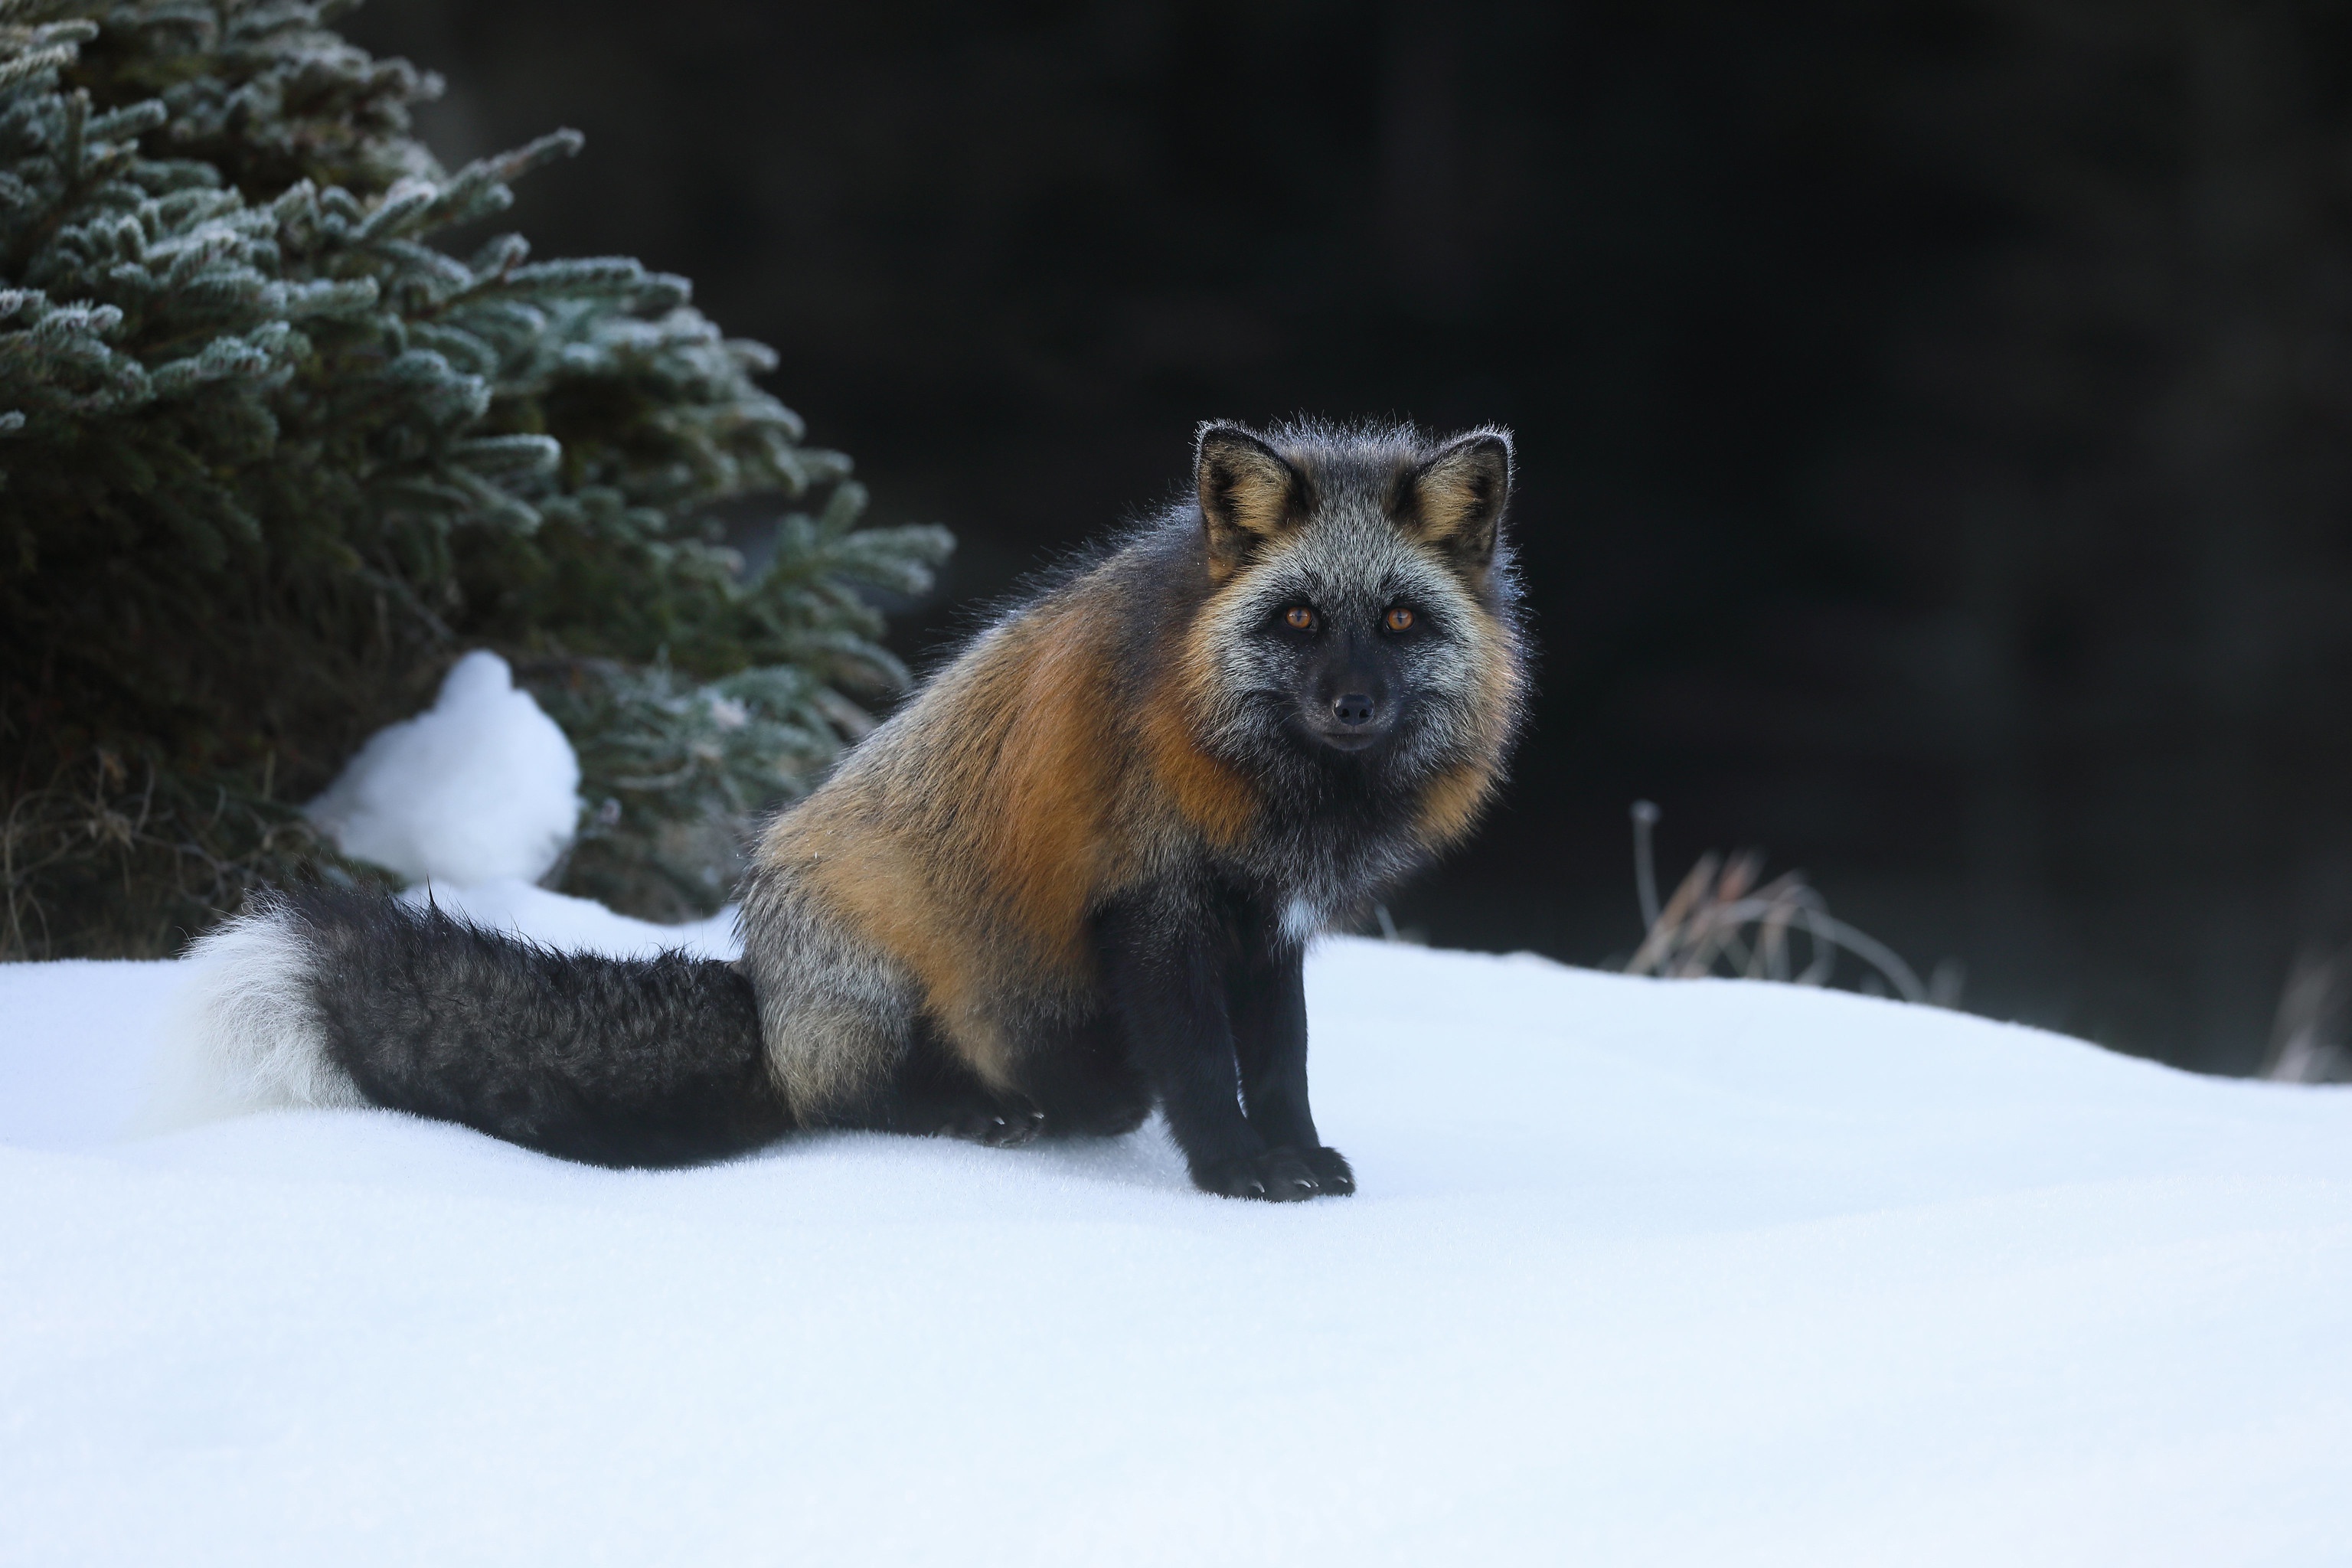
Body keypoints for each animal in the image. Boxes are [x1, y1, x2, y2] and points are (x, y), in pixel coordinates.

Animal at [165, 420, 1524, 1204]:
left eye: (1397, 620)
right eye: (1297, 618)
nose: (1353, 703)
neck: (1281, 791)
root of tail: (762, 995)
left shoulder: (1267, 927)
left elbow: (1283, 1066)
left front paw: (1294, 1156)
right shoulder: (1158, 912)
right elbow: (1204, 1073)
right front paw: (1238, 1175)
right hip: (886, 989)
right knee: (853, 1105)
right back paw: (983, 1116)